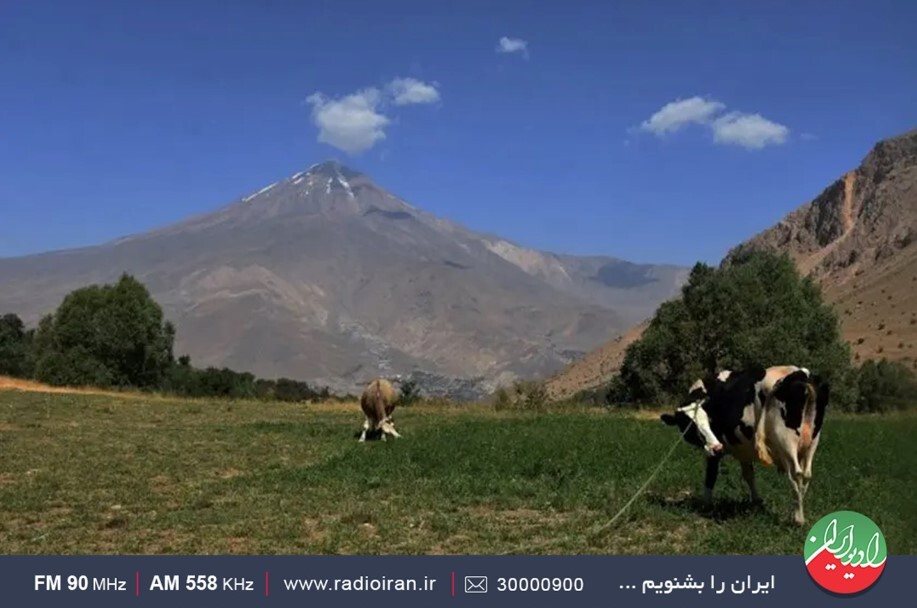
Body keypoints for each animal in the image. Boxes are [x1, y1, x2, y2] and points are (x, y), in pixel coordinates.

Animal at [660, 364, 828, 524]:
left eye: (707, 422)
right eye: (689, 424)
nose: (716, 447)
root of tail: (801, 374)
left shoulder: (714, 451)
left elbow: (711, 476)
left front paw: (706, 505)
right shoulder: (743, 449)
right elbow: (749, 475)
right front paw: (756, 502)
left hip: (786, 442)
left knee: (796, 475)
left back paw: (798, 519)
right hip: (811, 443)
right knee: (806, 475)